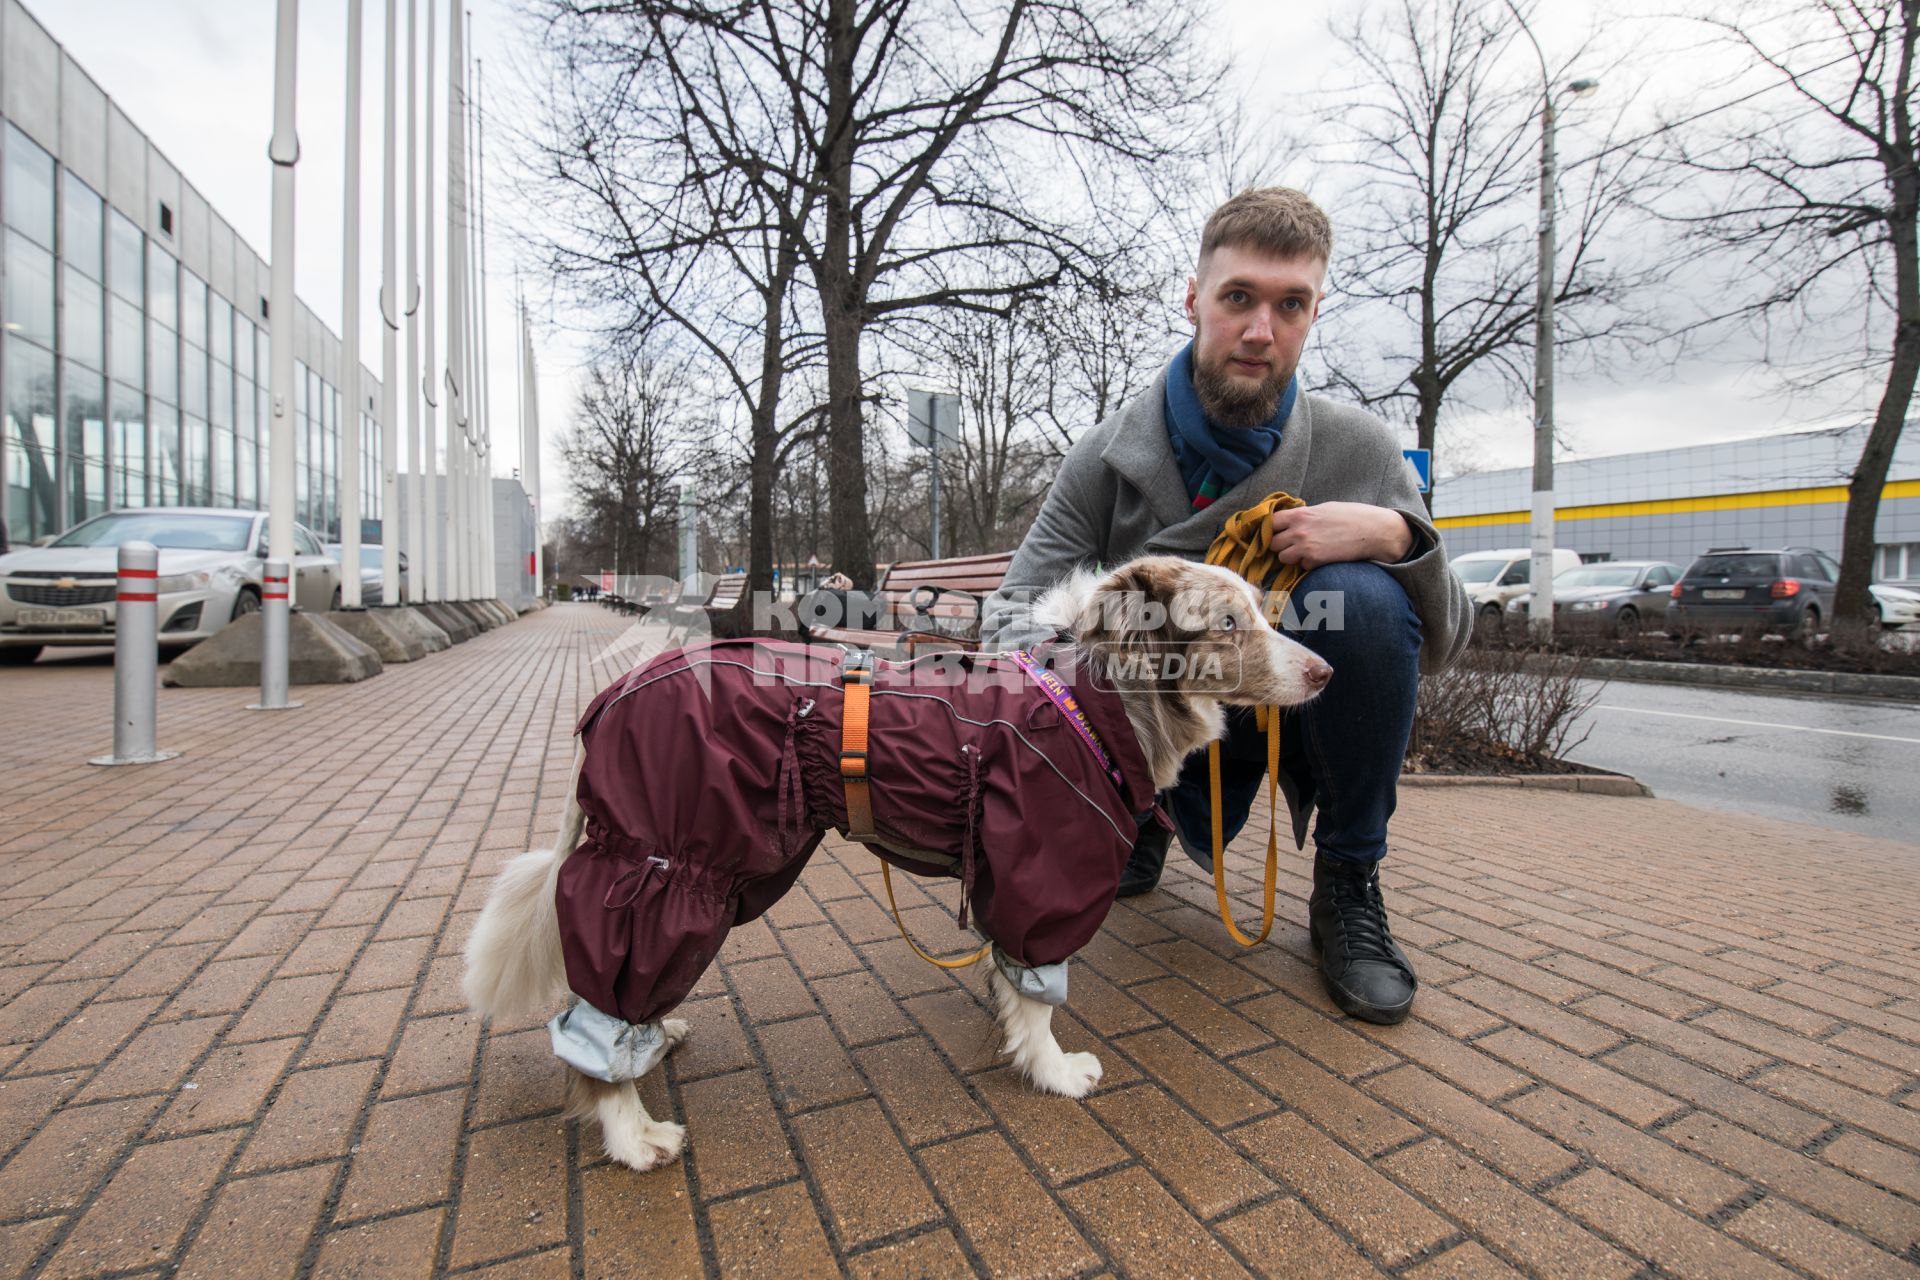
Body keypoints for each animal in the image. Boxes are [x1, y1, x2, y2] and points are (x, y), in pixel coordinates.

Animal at [464, 556, 1336, 1174]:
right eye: (1229, 621)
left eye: (1264, 608)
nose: (1327, 673)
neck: (1096, 701)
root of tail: (612, 695)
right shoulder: (1046, 876)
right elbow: (1040, 1000)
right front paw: (1053, 1071)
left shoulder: (1006, 877)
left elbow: (1009, 977)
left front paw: (1005, 1020)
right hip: (670, 872)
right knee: (596, 1024)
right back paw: (632, 1132)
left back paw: (652, 1039)